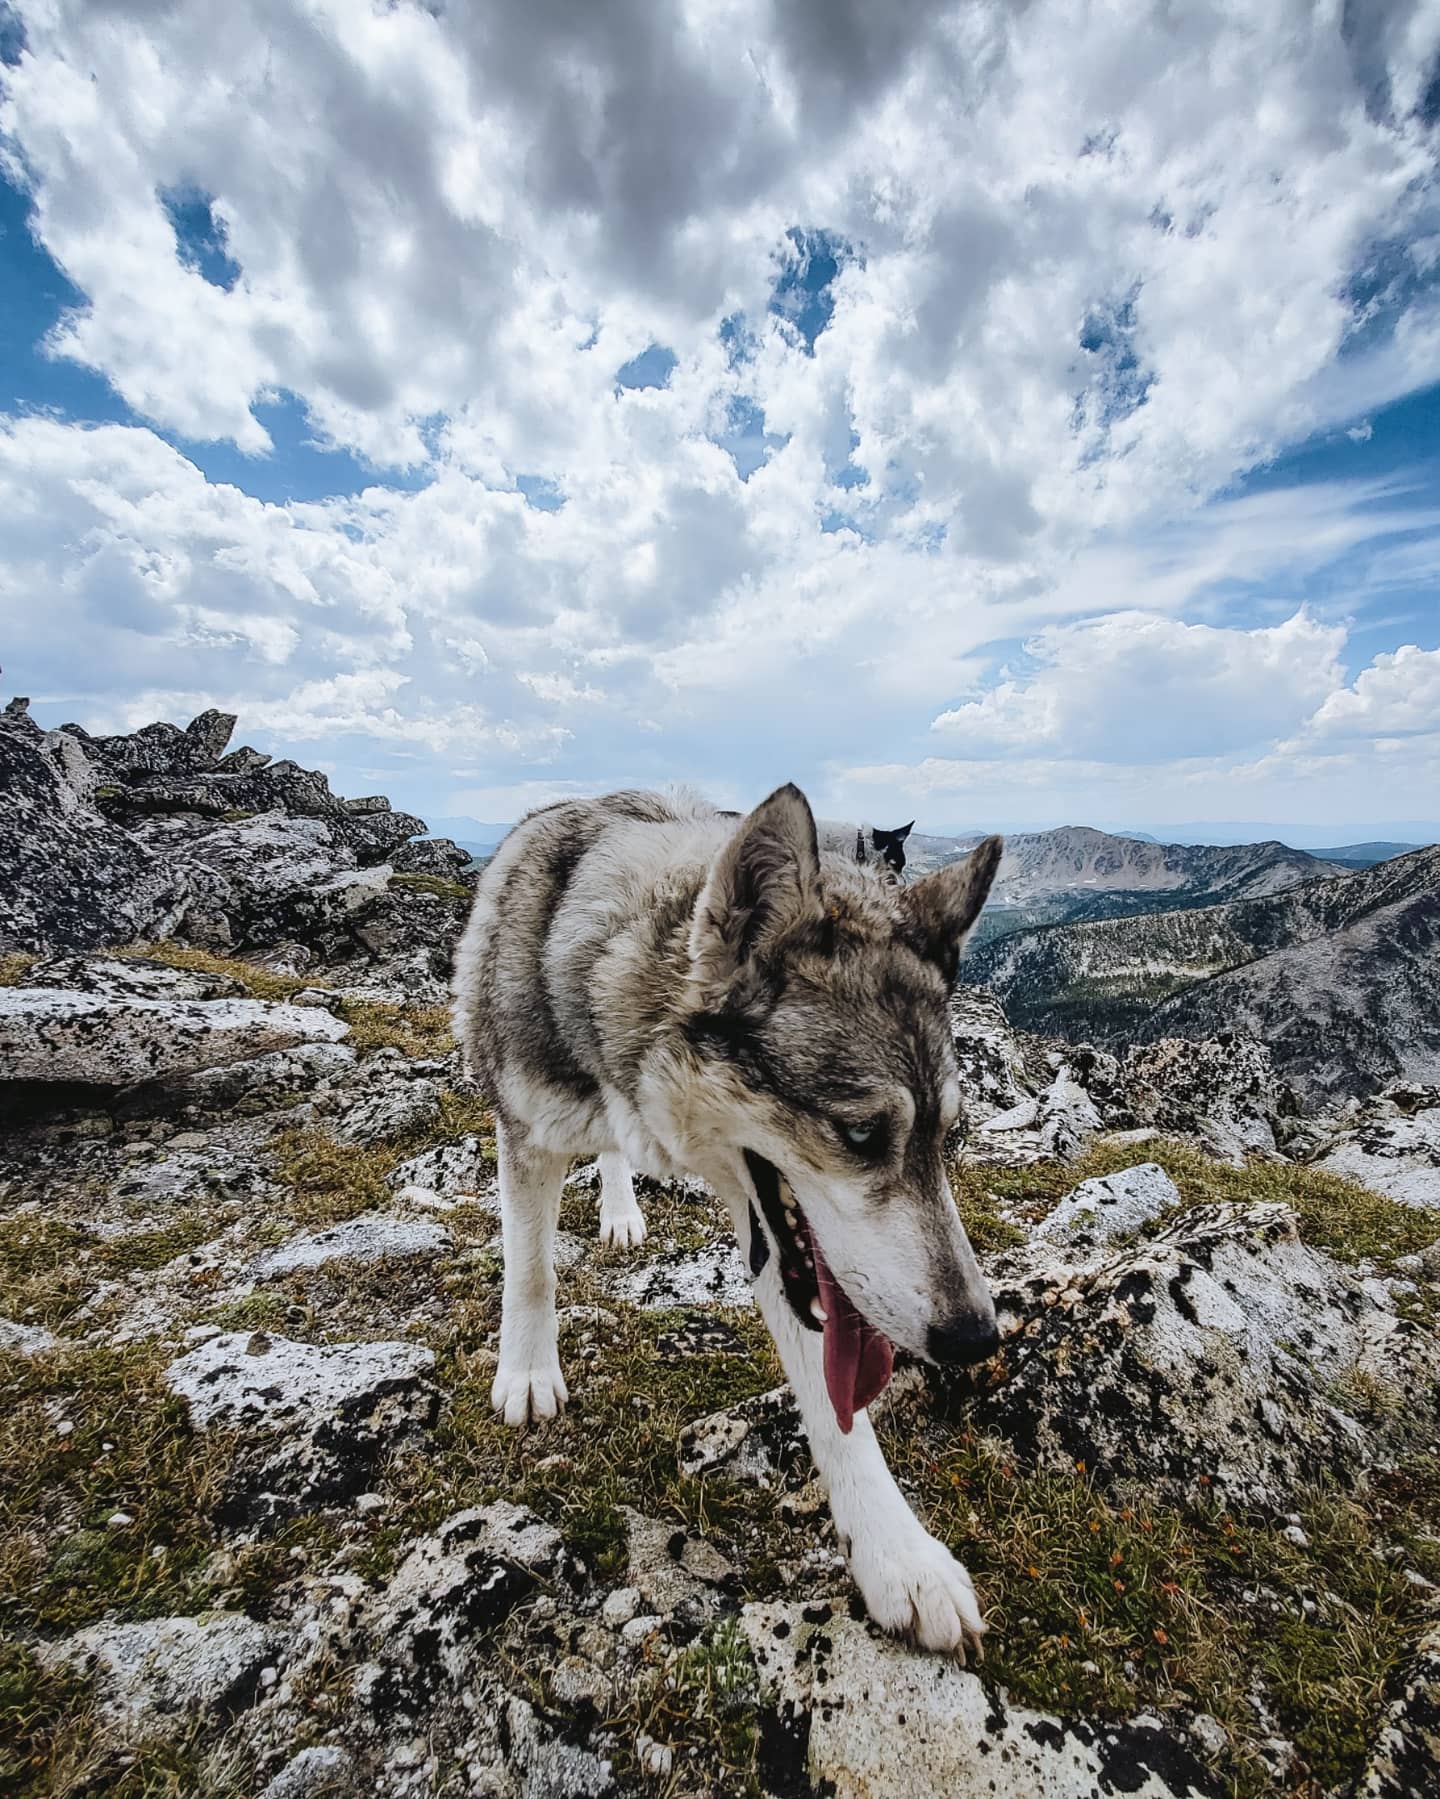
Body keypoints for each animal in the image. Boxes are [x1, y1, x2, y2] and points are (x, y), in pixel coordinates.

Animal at [451, 783, 1002, 1656]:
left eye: (948, 1134)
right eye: (858, 1134)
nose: (977, 1336)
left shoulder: (776, 1234)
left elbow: (836, 1404)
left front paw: (897, 1556)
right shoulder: (525, 1131)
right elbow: (530, 1268)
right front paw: (529, 1372)